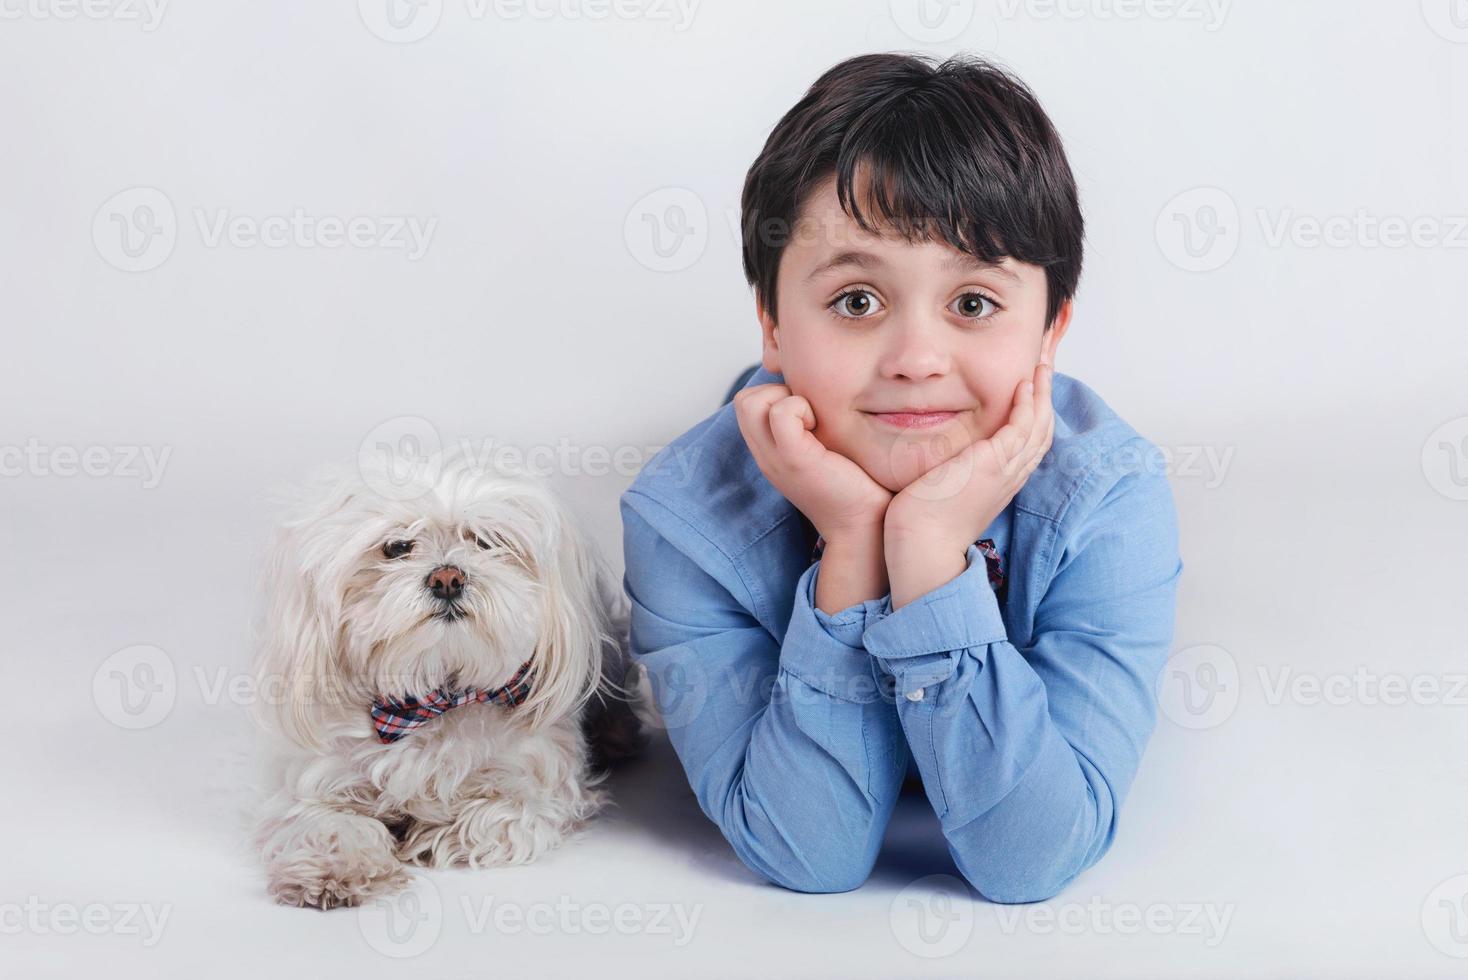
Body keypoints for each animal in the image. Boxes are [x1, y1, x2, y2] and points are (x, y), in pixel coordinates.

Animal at [248, 451, 642, 909]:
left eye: (485, 541)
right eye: (397, 547)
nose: (448, 578)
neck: (436, 697)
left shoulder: (539, 780)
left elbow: (501, 814)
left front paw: (433, 834)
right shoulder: (318, 781)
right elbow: (323, 821)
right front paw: (333, 871)